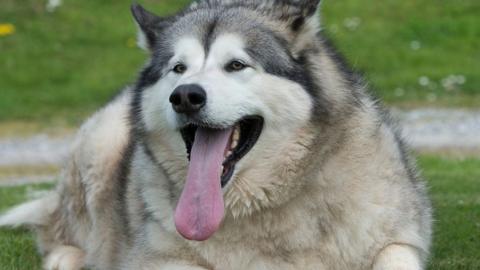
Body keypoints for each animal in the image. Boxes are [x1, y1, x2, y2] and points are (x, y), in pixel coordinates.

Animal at [0, 1, 434, 268]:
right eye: (178, 68)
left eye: (236, 64)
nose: (185, 96)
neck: (267, 211)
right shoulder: (156, 259)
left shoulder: (400, 240)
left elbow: (394, 251)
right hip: (100, 146)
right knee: (60, 230)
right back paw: (68, 256)